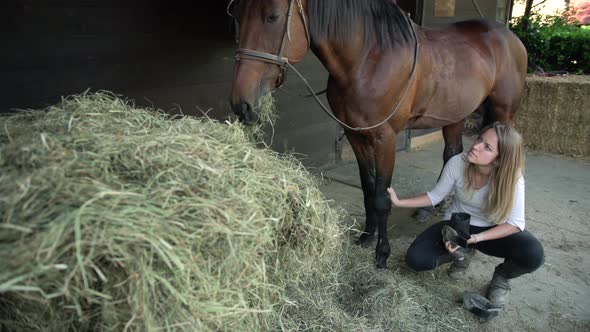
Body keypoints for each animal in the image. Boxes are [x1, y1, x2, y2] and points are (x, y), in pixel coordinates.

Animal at [229, 0, 528, 268]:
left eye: (272, 16)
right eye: (237, 15)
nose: (241, 104)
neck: (368, 59)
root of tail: (510, 36)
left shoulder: (385, 139)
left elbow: (382, 198)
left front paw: (381, 253)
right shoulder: (354, 135)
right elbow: (368, 188)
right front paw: (366, 236)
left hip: (503, 114)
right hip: (454, 115)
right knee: (452, 153)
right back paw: (431, 207)